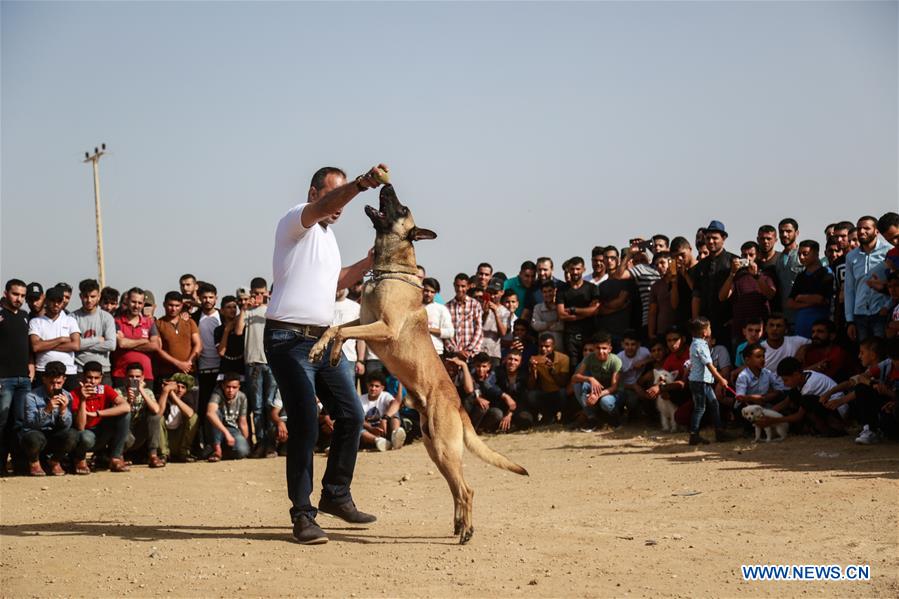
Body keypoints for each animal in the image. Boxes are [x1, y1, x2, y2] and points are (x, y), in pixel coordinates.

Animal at [310, 183, 528, 544]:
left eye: (402, 208)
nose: (386, 185)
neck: (389, 269)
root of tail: (459, 405)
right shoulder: (364, 319)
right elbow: (333, 327)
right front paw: (322, 350)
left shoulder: (383, 328)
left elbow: (341, 330)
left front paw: (333, 352)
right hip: (435, 449)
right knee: (456, 490)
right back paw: (459, 525)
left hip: (443, 447)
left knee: (466, 490)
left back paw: (467, 531)